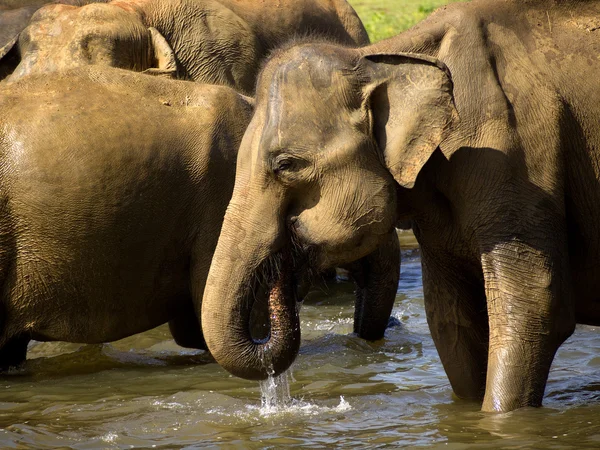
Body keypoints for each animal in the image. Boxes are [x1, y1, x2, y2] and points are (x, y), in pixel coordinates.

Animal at [199, 0, 600, 414]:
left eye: (285, 165)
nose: (283, 267)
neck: (381, 58)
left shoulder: (517, 158)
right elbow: (449, 320)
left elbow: (535, 308)